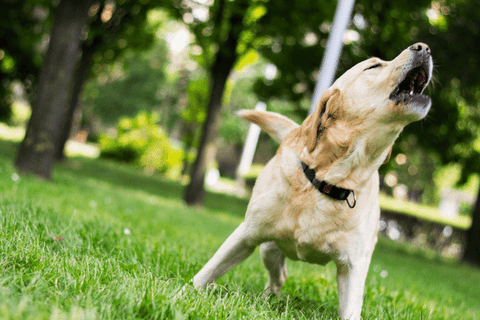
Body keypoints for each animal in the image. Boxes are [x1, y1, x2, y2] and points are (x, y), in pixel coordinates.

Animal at [193, 43, 434, 320]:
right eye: (373, 66)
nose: (424, 47)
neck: (328, 182)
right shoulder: (246, 233)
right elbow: (207, 273)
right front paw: (186, 292)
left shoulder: (354, 266)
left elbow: (351, 309)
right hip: (268, 248)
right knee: (278, 276)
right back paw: (266, 299)